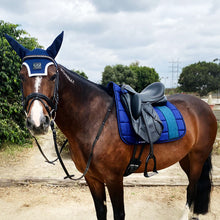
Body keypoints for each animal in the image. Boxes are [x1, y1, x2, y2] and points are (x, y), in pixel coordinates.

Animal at [4, 31, 217, 219]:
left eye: (53, 75)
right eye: (21, 75)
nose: (37, 122)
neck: (93, 120)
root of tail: (203, 106)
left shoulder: (114, 179)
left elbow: (118, 214)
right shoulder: (93, 179)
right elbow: (101, 211)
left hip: (197, 157)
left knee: (192, 187)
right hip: (185, 158)